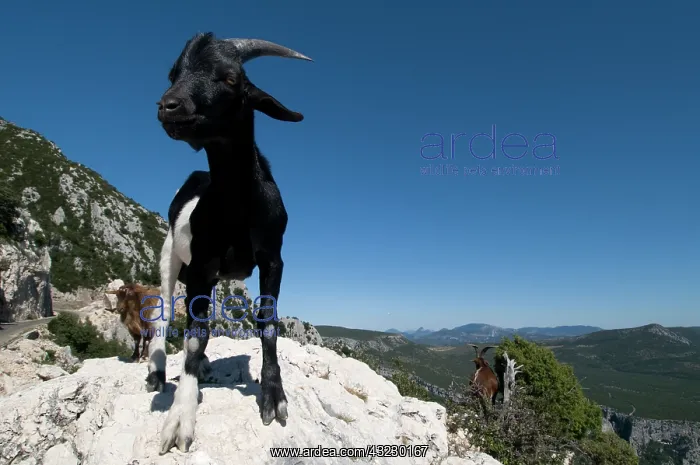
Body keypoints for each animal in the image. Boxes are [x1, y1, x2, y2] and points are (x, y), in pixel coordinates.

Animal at [145, 32, 311, 455]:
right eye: (174, 73)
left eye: (231, 78)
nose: (168, 106)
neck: (238, 206)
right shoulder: (202, 264)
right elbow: (194, 334)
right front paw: (181, 416)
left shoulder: (272, 257)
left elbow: (267, 321)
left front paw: (273, 395)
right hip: (170, 256)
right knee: (166, 312)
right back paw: (157, 372)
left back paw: (202, 365)